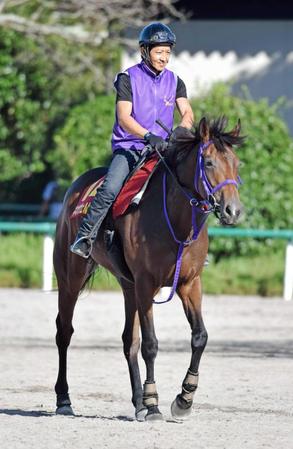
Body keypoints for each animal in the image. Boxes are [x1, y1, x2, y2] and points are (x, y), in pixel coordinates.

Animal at [53, 115, 243, 420]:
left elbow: (199, 336)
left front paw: (184, 399)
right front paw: (154, 403)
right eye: (209, 162)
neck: (175, 220)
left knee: (128, 341)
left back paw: (138, 402)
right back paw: (64, 399)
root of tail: (77, 189)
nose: (232, 211)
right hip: (71, 278)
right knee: (64, 332)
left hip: (128, 287)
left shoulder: (189, 284)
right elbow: (151, 344)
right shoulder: (146, 285)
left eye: (236, 163)